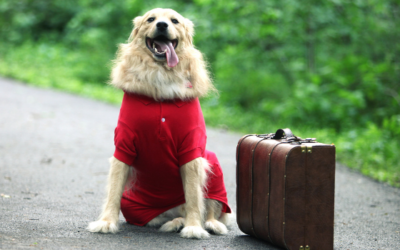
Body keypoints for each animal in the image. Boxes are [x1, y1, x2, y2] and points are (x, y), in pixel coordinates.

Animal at [87, 8, 231, 238]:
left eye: (174, 21)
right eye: (151, 19)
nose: (162, 25)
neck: (161, 75)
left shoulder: (192, 150)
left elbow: (194, 196)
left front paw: (193, 227)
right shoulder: (123, 147)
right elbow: (114, 191)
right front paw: (106, 222)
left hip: (212, 163)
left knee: (210, 208)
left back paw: (207, 224)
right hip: (134, 205)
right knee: (160, 218)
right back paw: (175, 222)